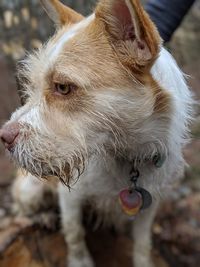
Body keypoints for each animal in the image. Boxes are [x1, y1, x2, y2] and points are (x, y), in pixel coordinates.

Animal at [0, 0, 194, 267]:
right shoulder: (70, 196)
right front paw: (80, 260)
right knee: (21, 209)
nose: (3, 136)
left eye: (63, 87)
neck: (127, 154)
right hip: (30, 189)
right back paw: (42, 217)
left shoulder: (150, 205)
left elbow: (142, 243)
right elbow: (74, 232)